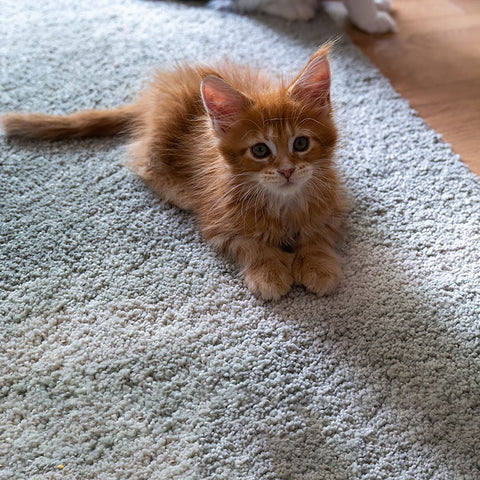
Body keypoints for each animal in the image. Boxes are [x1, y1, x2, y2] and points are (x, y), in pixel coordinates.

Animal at [0, 45, 344, 300]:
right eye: (260, 150)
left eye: (301, 143)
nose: (286, 171)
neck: (284, 202)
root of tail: (152, 100)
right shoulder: (217, 221)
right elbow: (251, 245)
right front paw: (269, 271)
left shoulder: (335, 205)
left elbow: (318, 236)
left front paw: (319, 265)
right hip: (162, 134)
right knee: (142, 161)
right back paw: (180, 192)